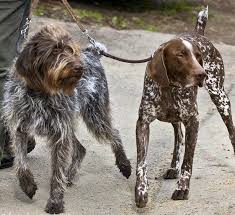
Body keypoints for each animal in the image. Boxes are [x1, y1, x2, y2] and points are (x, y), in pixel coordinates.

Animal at [3, 25, 131, 213]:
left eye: (71, 50)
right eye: (54, 50)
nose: (79, 67)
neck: (41, 92)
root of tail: (92, 53)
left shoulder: (59, 134)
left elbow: (56, 172)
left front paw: (55, 202)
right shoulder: (20, 128)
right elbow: (21, 162)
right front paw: (27, 185)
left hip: (95, 116)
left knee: (114, 133)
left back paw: (124, 165)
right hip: (70, 124)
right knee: (81, 148)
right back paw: (69, 176)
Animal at [135, 6, 235, 207]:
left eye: (198, 56)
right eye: (180, 55)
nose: (202, 74)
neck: (170, 88)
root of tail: (198, 32)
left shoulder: (193, 121)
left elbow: (188, 162)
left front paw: (182, 188)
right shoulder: (143, 123)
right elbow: (141, 162)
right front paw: (141, 191)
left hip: (221, 99)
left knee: (231, 133)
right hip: (175, 118)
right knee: (178, 137)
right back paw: (173, 167)